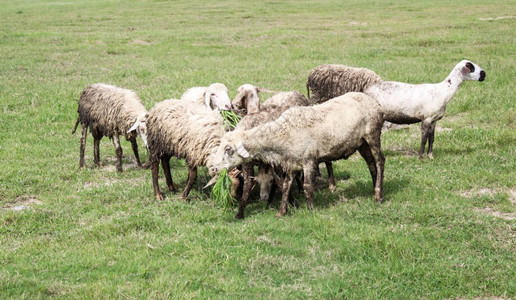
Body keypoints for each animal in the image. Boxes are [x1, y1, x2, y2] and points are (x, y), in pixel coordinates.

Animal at [212, 92, 384, 218]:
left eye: (229, 149)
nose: (214, 168)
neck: (282, 134)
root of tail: (373, 101)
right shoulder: (291, 164)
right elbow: (285, 186)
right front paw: (281, 212)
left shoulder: (308, 160)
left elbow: (307, 187)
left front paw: (311, 209)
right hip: (361, 143)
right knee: (371, 164)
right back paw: (374, 189)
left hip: (373, 134)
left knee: (380, 161)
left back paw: (379, 195)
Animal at [306, 59, 488, 161]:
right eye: (470, 67)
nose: (484, 74)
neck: (442, 91)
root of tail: (367, 89)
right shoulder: (426, 119)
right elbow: (423, 139)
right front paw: (421, 157)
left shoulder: (434, 120)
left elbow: (432, 139)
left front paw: (430, 156)